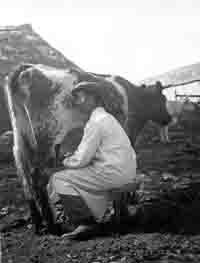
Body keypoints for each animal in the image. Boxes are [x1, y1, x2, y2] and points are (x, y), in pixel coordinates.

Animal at [4, 63, 170, 233]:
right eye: (162, 99)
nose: (168, 119)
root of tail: (27, 68)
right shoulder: (129, 133)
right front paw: (127, 202)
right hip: (46, 138)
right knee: (37, 178)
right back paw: (52, 226)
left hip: (20, 140)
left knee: (25, 179)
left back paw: (38, 225)